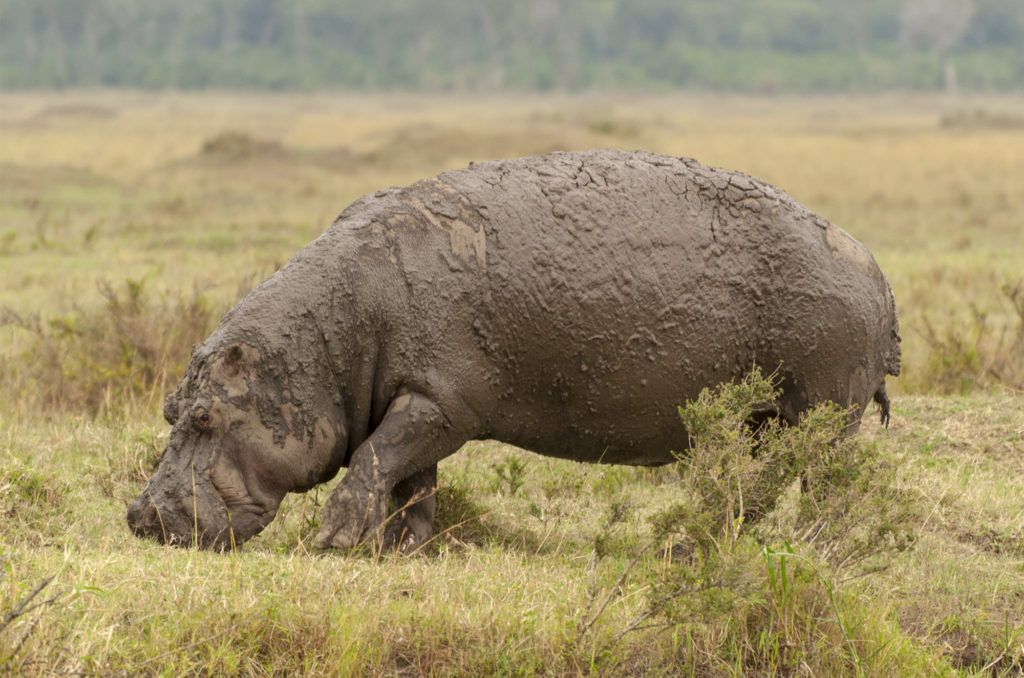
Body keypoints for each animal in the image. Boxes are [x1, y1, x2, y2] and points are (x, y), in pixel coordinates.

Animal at [125, 148, 897, 553]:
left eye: (206, 418)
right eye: (169, 409)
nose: (140, 516)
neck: (323, 340)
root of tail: (872, 265)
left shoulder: (437, 402)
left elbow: (373, 463)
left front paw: (334, 545)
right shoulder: (413, 402)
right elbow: (410, 484)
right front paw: (404, 553)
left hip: (823, 410)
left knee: (818, 484)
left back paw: (804, 549)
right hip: (770, 415)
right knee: (759, 481)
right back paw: (695, 543)